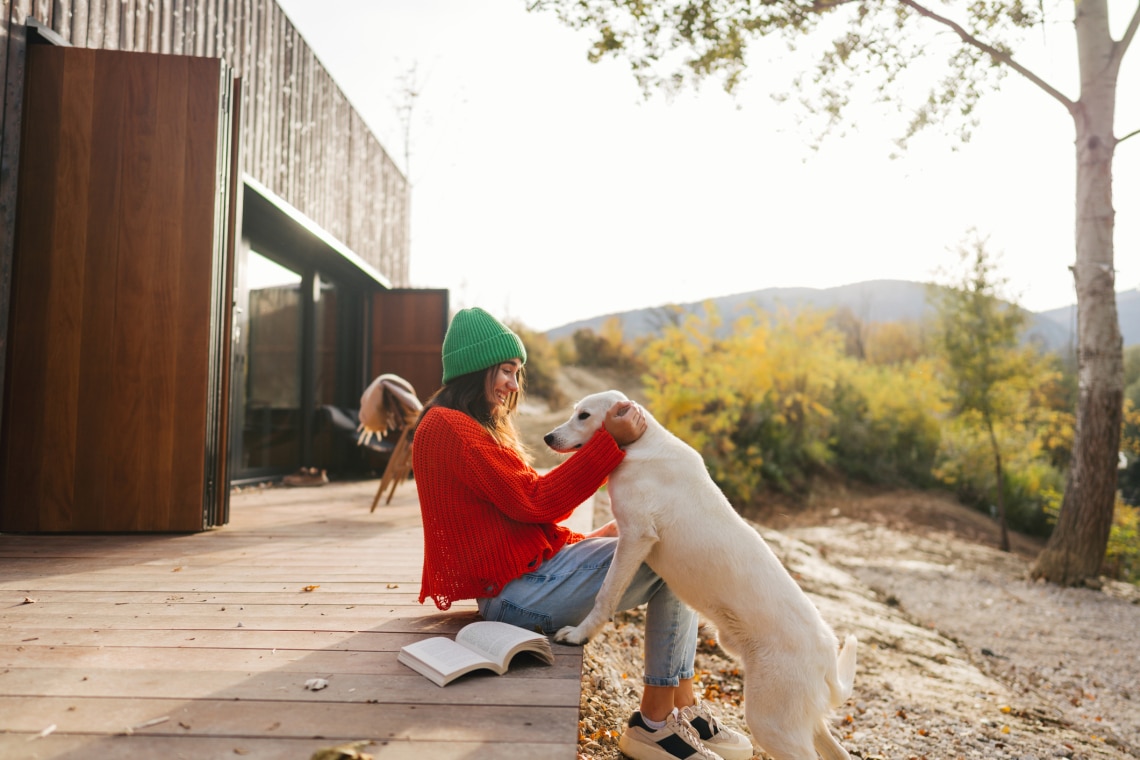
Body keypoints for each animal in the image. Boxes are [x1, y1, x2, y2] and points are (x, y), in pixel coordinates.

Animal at [542, 391, 857, 760]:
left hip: (773, 723)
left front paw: (580, 634)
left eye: (584, 415)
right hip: (798, 720)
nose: (548, 438)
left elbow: (606, 593)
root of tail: (826, 651)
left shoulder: (635, 537)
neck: (640, 443)